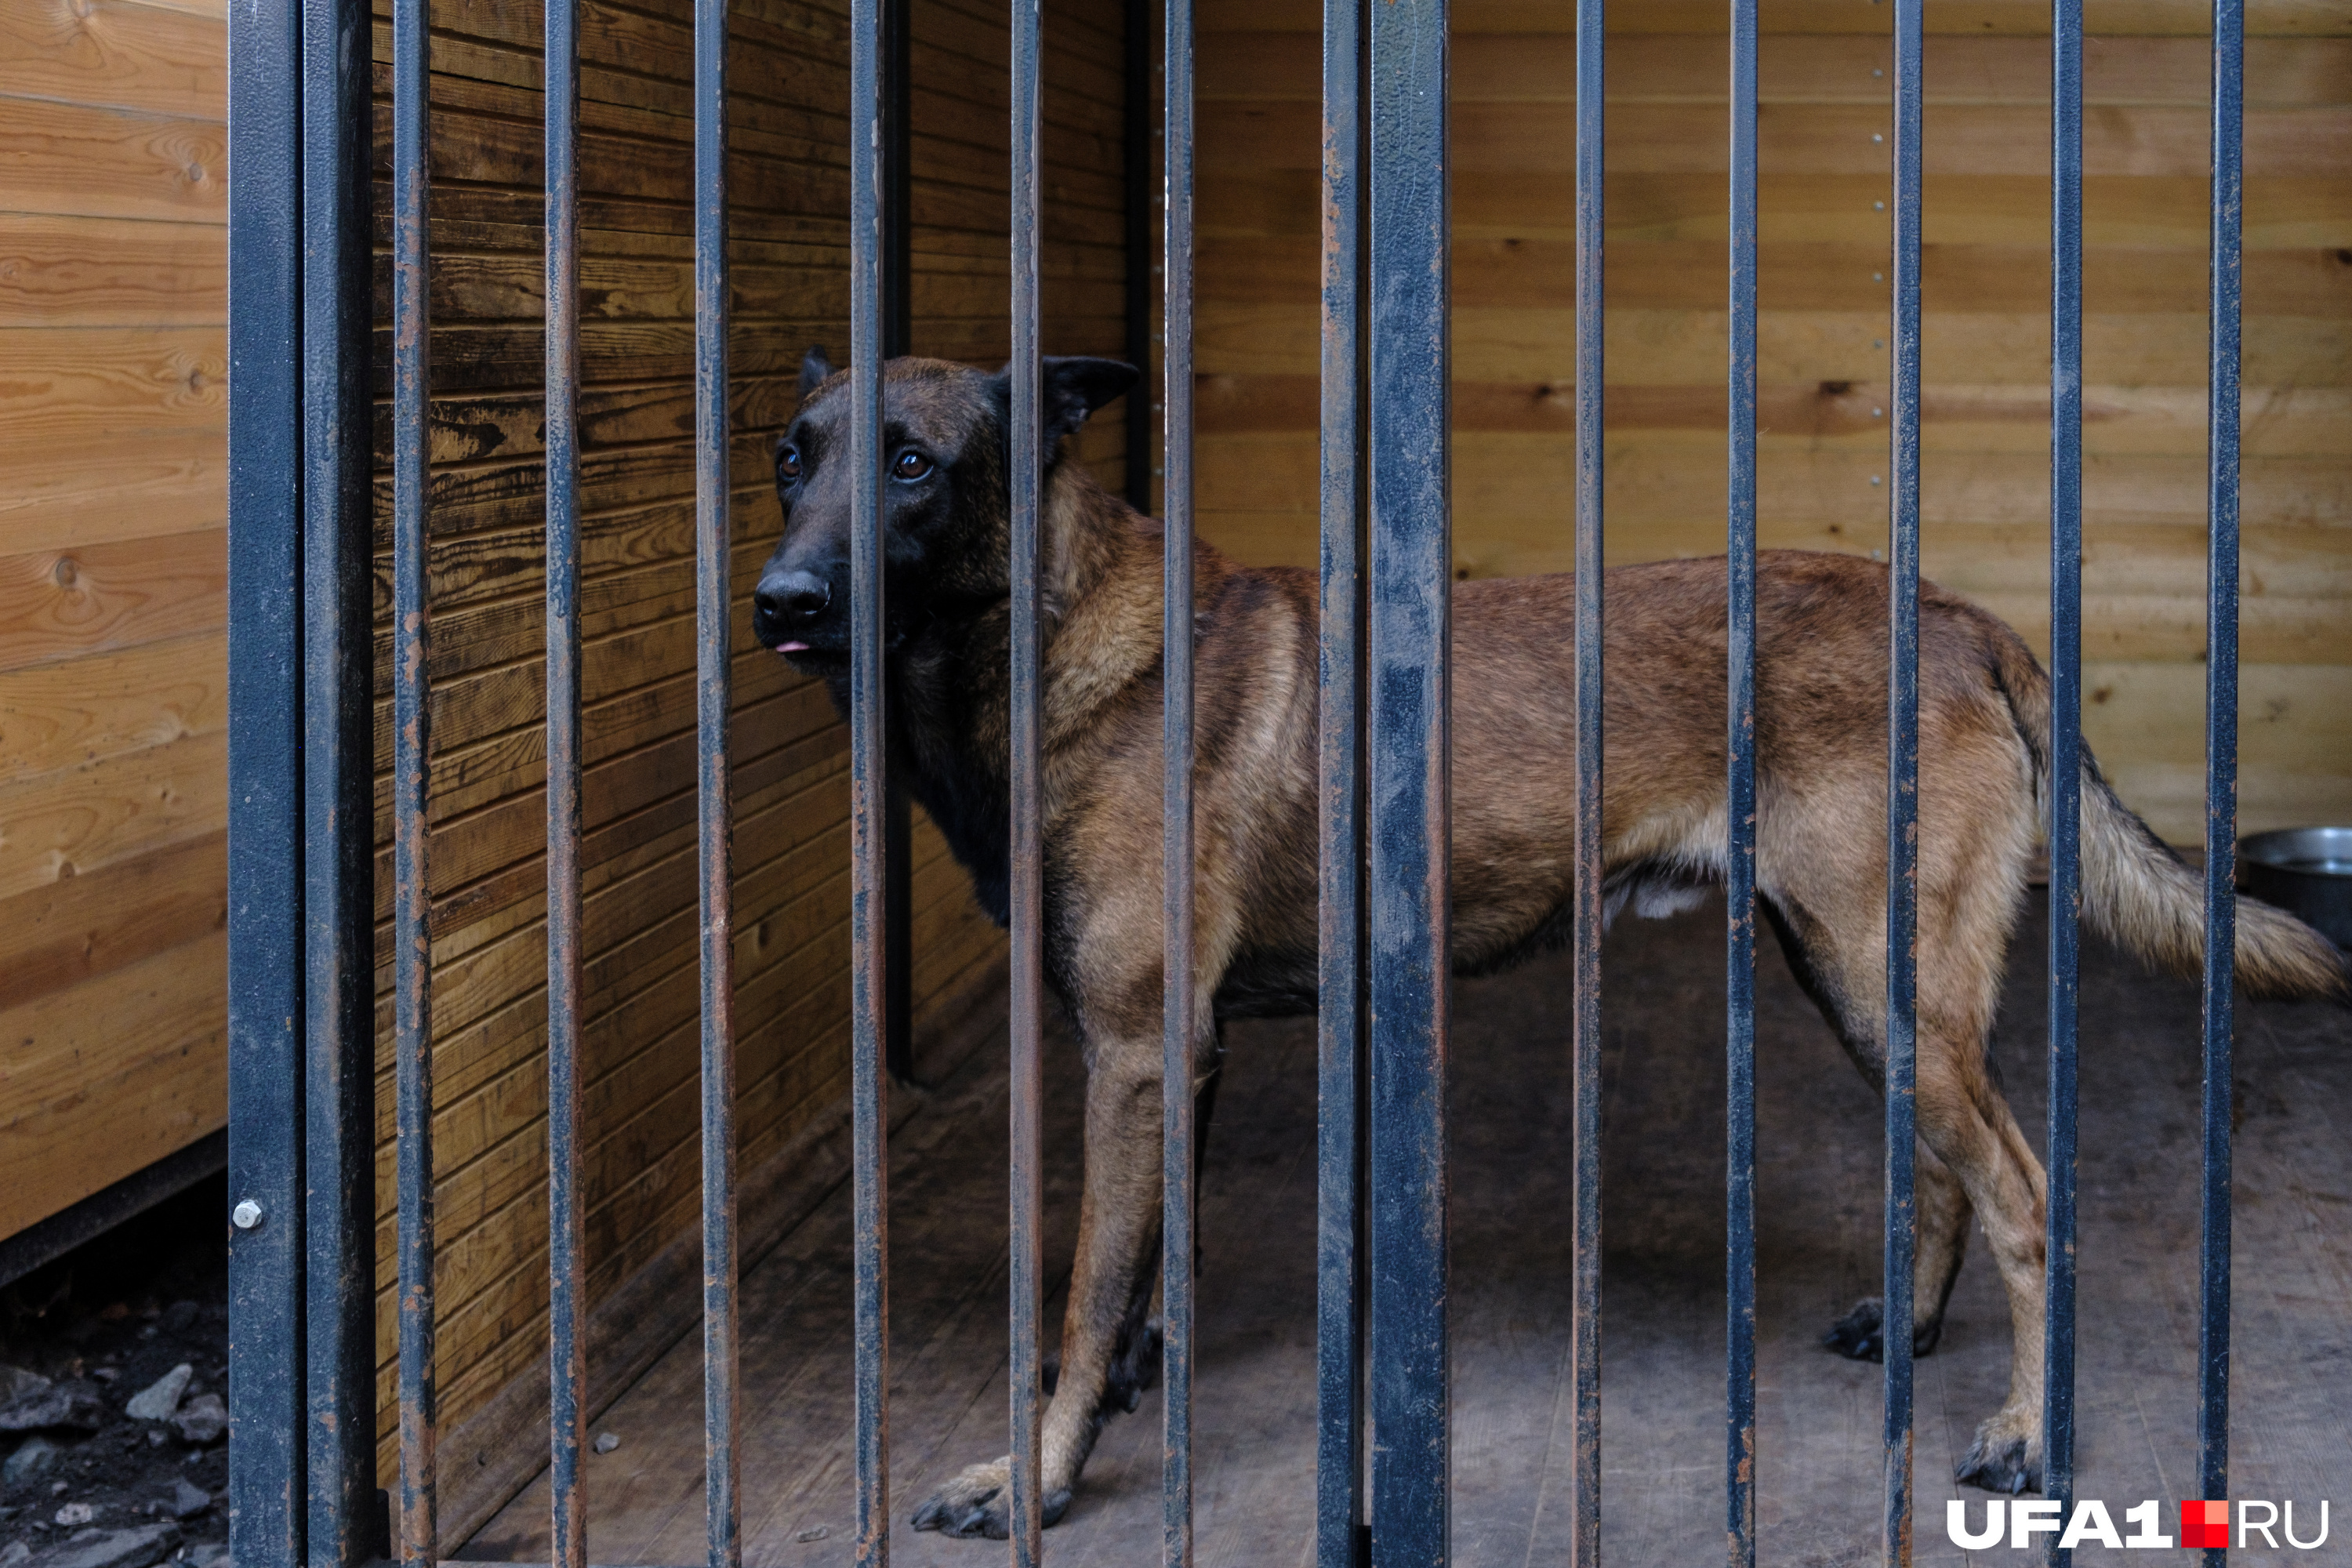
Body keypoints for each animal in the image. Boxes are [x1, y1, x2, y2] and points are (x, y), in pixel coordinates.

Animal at [757, 350, 2352, 1542]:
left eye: (912, 462)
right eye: (792, 456)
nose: (781, 601)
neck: (1052, 631)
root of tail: (1956, 613)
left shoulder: (1139, 1050)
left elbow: (1089, 1296)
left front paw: (1034, 1474)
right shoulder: (1176, 1063)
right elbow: (1147, 1268)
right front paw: (1128, 1394)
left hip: (1883, 980)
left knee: (2025, 1193)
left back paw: (2027, 1433)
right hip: (1861, 985)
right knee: (1955, 1167)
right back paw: (1910, 1333)